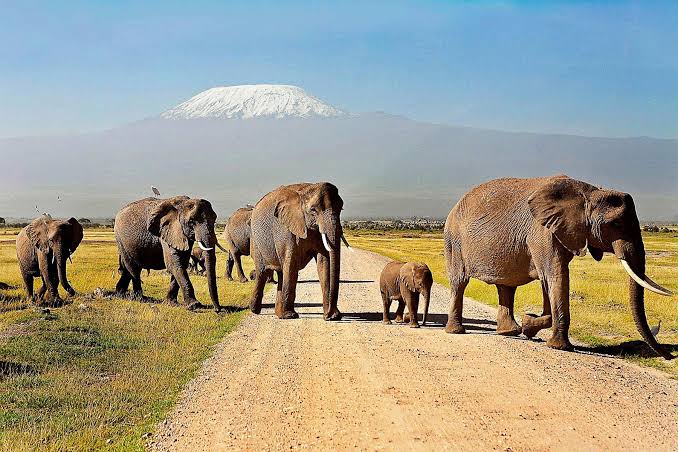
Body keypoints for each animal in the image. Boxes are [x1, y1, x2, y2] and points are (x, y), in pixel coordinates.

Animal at [249, 182, 350, 320]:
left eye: (341, 208)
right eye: (313, 210)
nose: (329, 315)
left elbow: (324, 263)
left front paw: (333, 316)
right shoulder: (286, 230)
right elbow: (291, 263)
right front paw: (290, 316)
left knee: (281, 272)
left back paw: (279, 314)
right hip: (256, 241)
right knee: (262, 272)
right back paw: (255, 310)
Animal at [443, 175, 673, 359]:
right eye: (616, 224)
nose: (670, 357)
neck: (589, 193)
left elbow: (551, 281)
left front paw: (529, 325)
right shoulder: (542, 232)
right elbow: (555, 276)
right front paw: (557, 345)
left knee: (506, 287)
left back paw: (510, 332)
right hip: (454, 241)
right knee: (459, 282)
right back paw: (456, 331)